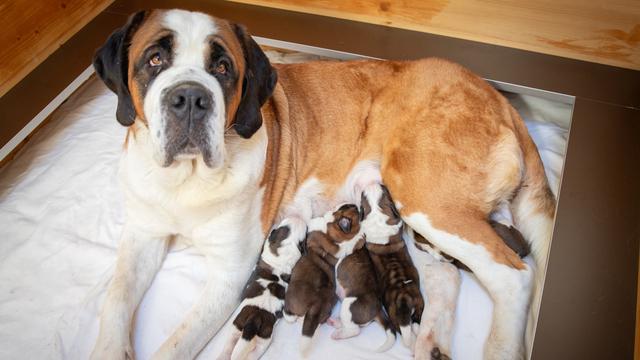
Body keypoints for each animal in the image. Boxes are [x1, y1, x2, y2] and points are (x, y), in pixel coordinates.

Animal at [360, 184, 424, 348]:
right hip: (419, 302)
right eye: (387, 195)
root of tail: (404, 299)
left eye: (362, 198)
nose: (373, 184)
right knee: (416, 322)